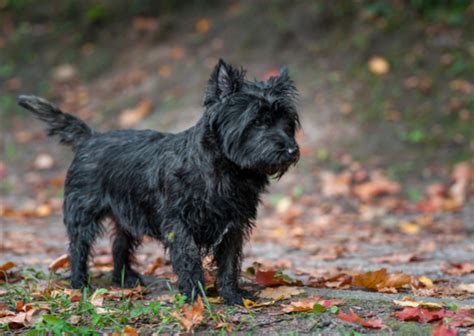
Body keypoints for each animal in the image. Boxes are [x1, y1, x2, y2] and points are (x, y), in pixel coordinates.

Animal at [19, 59, 300, 304]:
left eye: (286, 122)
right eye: (258, 121)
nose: (291, 150)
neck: (227, 170)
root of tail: (90, 138)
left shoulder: (234, 225)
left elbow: (230, 263)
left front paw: (233, 297)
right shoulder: (179, 223)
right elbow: (189, 259)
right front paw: (195, 298)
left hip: (126, 217)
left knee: (119, 245)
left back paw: (124, 280)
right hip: (83, 212)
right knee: (78, 247)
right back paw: (79, 284)